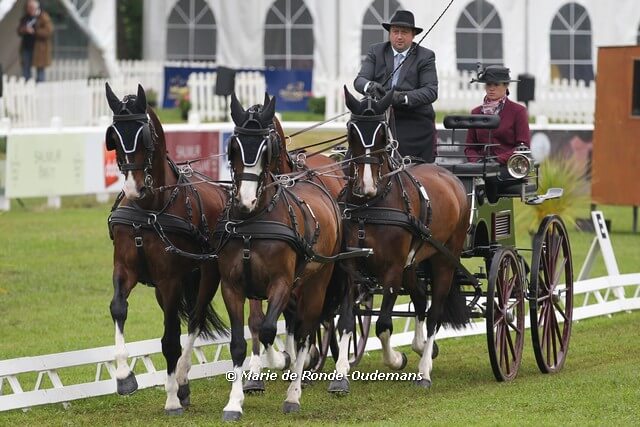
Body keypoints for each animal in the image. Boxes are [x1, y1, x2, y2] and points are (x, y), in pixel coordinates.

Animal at [104, 83, 229, 414]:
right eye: (114, 136)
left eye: (145, 135)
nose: (133, 188)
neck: (150, 209)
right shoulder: (125, 269)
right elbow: (118, 308)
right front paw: (124, 376)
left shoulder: (170, 279)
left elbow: (171, 339)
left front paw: (172, 397)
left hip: (207, 274)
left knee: (195, 320)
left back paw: (181, 380)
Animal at [215, 92, 347, 420]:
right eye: (233, 147)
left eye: (268, 147)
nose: (245, 200)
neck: (253, 221)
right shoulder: (233, 287)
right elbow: (244, 338)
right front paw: (236, 399)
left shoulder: (282, 284)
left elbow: (268, 330)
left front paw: (283, 361)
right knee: (299, 325)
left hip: (318, 282)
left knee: (308, 328)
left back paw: (296, 392)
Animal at [331, 87, 471, 391]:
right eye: (351, 131)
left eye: (383, 135)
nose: (366, 186)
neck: (372, 206)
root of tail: (449, 176)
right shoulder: (351, 266)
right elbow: (346, 320)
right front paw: (340, 374)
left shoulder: (392, 270)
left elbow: (383, 324)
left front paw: (396, 360)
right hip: (413, 263)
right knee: (419, 299)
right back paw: (419, 346)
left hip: (444, 260)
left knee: (434, 314)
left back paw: (425, 370)